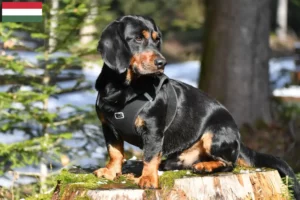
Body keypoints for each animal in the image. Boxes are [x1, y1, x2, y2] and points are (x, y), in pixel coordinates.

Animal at [94, 15, 300, 198]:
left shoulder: (153, 129)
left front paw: (148, 180)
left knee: (229, 163)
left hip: (214, 134)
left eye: (156, 39)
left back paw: (205, 166)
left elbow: (151, 156)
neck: (124, 89)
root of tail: (239, 141)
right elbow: (115, 152)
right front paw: (111, 172)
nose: (162, 63)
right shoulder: (108, 127)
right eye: (138, 38)